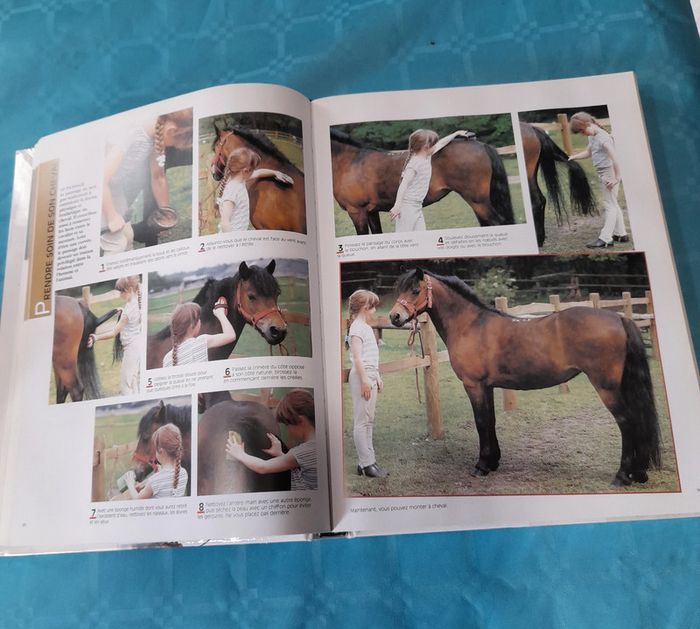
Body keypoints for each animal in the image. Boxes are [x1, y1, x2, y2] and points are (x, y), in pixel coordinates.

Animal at [389, 267, 661, 486]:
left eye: (415, 290)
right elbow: (490, 421)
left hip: (607, 387)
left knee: (627, 422)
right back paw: (639, 473)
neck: (471, 325)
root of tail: (619, 318)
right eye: (400, 289)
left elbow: (480, 423)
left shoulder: (473, 385)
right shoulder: (487, 387)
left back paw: (623, 475)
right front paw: (493, 463)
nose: (394, 317)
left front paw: (480, 466)